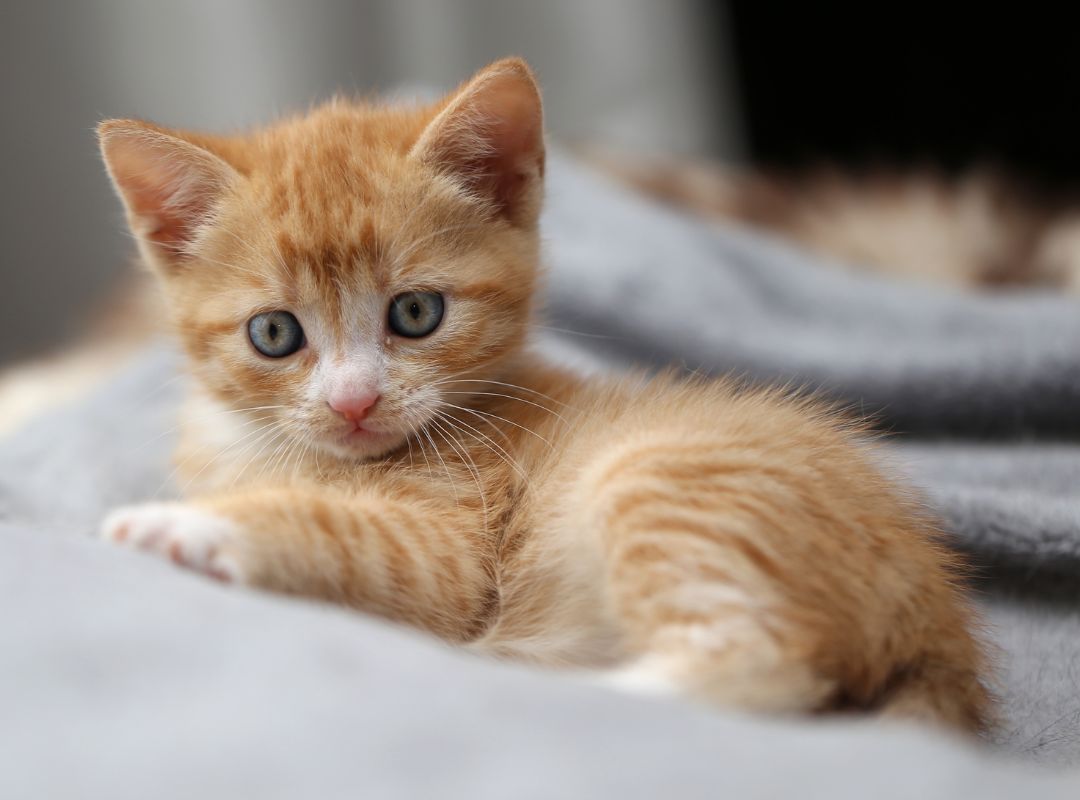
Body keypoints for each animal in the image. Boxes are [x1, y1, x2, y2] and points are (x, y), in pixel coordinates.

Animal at [97, 56, 989, 729]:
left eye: (415, 314)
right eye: (275, 334)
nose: (354, 403)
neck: (270, 449)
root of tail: (935, 617)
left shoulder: (452, 548)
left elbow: (338, 531)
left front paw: (188, 526)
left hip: (661, 482)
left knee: (768, 668)